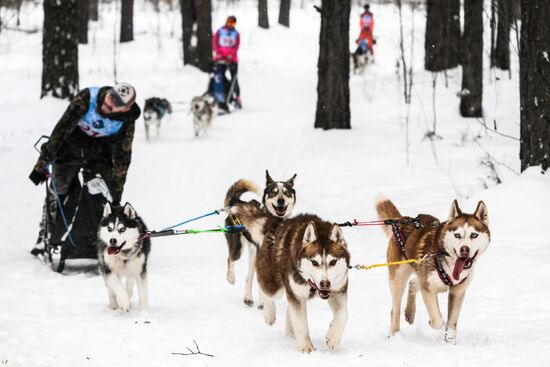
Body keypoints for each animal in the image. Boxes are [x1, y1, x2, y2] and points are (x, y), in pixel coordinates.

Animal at [224, 172, 298, 308]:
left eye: (286, 192)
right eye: (273, 192)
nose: (281, 200)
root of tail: (237, 202)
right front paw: (263, 303)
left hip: (253, 253)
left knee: (249, 277)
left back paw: (248, 298)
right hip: (238, 248)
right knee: (230, 259)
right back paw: (231, 278)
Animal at [258, 216, 352, 354]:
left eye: (333, 262)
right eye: (314, 262)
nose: (325, 283)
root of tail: (280, 223)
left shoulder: (338, 290)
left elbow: (344, 313)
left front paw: (333, 337)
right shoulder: (297, 295)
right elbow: (301, 325)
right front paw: (307, 348)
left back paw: (290, 331)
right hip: (274, 285)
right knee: (266, 291)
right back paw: (269, 313)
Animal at [380, 197, 492, 344]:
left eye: (474, 235)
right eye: (457, 235)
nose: (464, 249)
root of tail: (403, 220)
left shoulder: (458, 292)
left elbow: (452, 323)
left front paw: (450, 342)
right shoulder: (429, 289)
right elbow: (438, 321)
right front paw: (439, 325)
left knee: (413, 283)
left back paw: (410, 313)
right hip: (398, 277)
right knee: (395, 309)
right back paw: (394, 335)